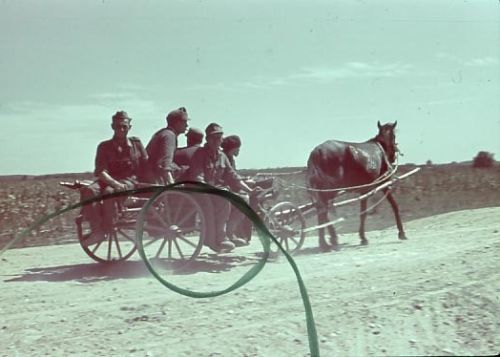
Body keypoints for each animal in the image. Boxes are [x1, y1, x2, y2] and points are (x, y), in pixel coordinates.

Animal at [304, 121, 406, 252]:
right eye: (394, 136)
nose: (393, 157)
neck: (380, 149)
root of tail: (316, 152)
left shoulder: (364, 190)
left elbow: (363, 213)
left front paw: (362, 237)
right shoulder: (384, 184)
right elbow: (394, 206)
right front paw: (401, 232)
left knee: (321, 210)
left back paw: (328, 241)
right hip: (329, 191)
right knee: (323, 211)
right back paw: (327, 242)